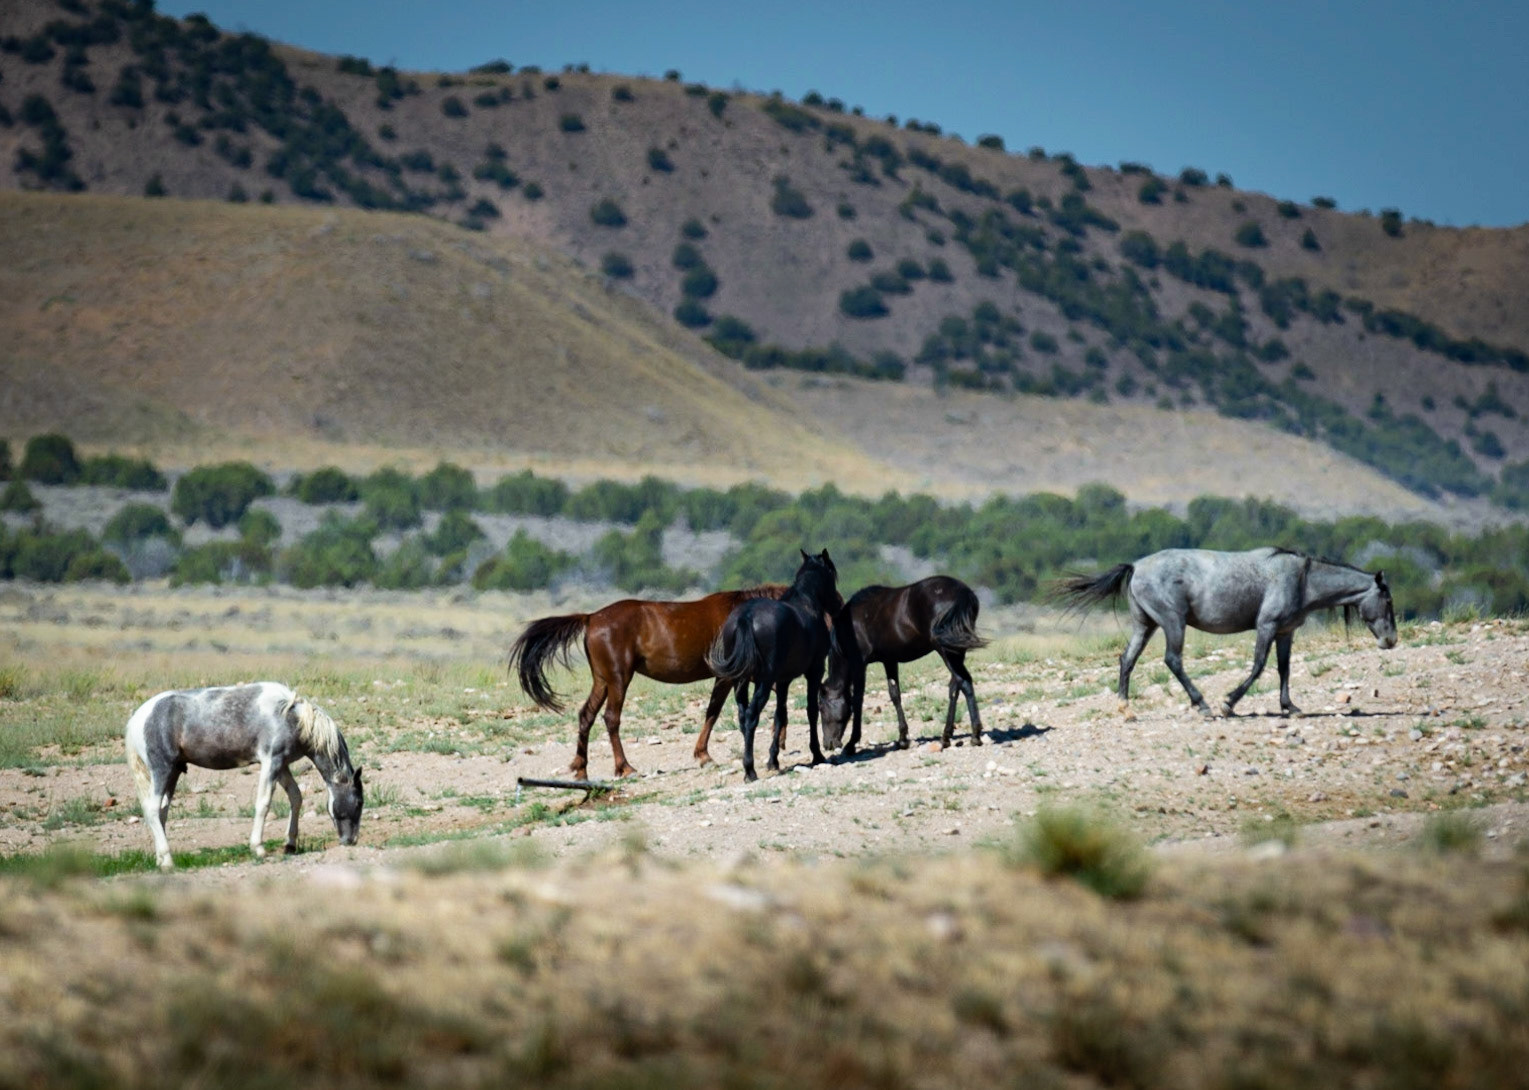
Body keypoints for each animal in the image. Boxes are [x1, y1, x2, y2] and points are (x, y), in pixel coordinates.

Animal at [124, 682, 363, 871]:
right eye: (359, 802)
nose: (351, 840)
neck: (291, 717)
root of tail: (138, 718)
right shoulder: (271, 762)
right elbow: (263, 803)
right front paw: (258, 848)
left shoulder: (282, 766)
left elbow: (296, 797)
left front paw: (290, 844)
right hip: (162, 770)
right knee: (152, 810)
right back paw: (167, 860)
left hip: (173, 772)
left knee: (161, 812)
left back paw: (160, 859)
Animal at [507, 584, 787, 780]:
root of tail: (591, 617)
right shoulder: (729, 676)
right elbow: (715, 712)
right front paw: (704, 755)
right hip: (619, 679)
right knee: (611, 718)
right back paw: (624, 767)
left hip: (602, 680)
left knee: (586, 715)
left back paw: (581, 769)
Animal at [706, 550, 842, 782]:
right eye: (831, 574)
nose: (838, 605)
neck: (807, 604)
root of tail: (746, 617)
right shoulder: (814, 672)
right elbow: (811, 710)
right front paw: (817, 754)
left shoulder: (783, 680)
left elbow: (780, 715)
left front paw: (773, 760)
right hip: (763, 681)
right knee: (752, 715)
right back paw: (749, 770)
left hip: (741, 681)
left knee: (743, 716)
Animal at [820, 575, 988, 755]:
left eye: (821, 708)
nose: (828, 744)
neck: (849, 626)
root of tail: (963, 593)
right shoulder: (889, 661)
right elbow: (895, 694)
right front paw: (902, 739)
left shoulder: (860, 664)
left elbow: (858, 700)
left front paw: (851, 743)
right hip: (956, 652)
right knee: (955, 687)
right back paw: (947, 736)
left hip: (946, 651)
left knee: (963, 682)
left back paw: (974, 735)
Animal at [1056, 546, 1397, 718]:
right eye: (1388, 599)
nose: (1391, 640)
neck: (1302, 578)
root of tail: (1136, 566)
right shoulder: (1267, 626)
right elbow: (1258, 667)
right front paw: (1228, 704)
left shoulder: (1285, 633)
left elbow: (1284, 669)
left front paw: (1290, 707)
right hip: (1172, 623)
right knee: (1173, 660)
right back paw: (1204, 705)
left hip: (1146, 625)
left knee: (1127, 659)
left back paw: (1125, 708)